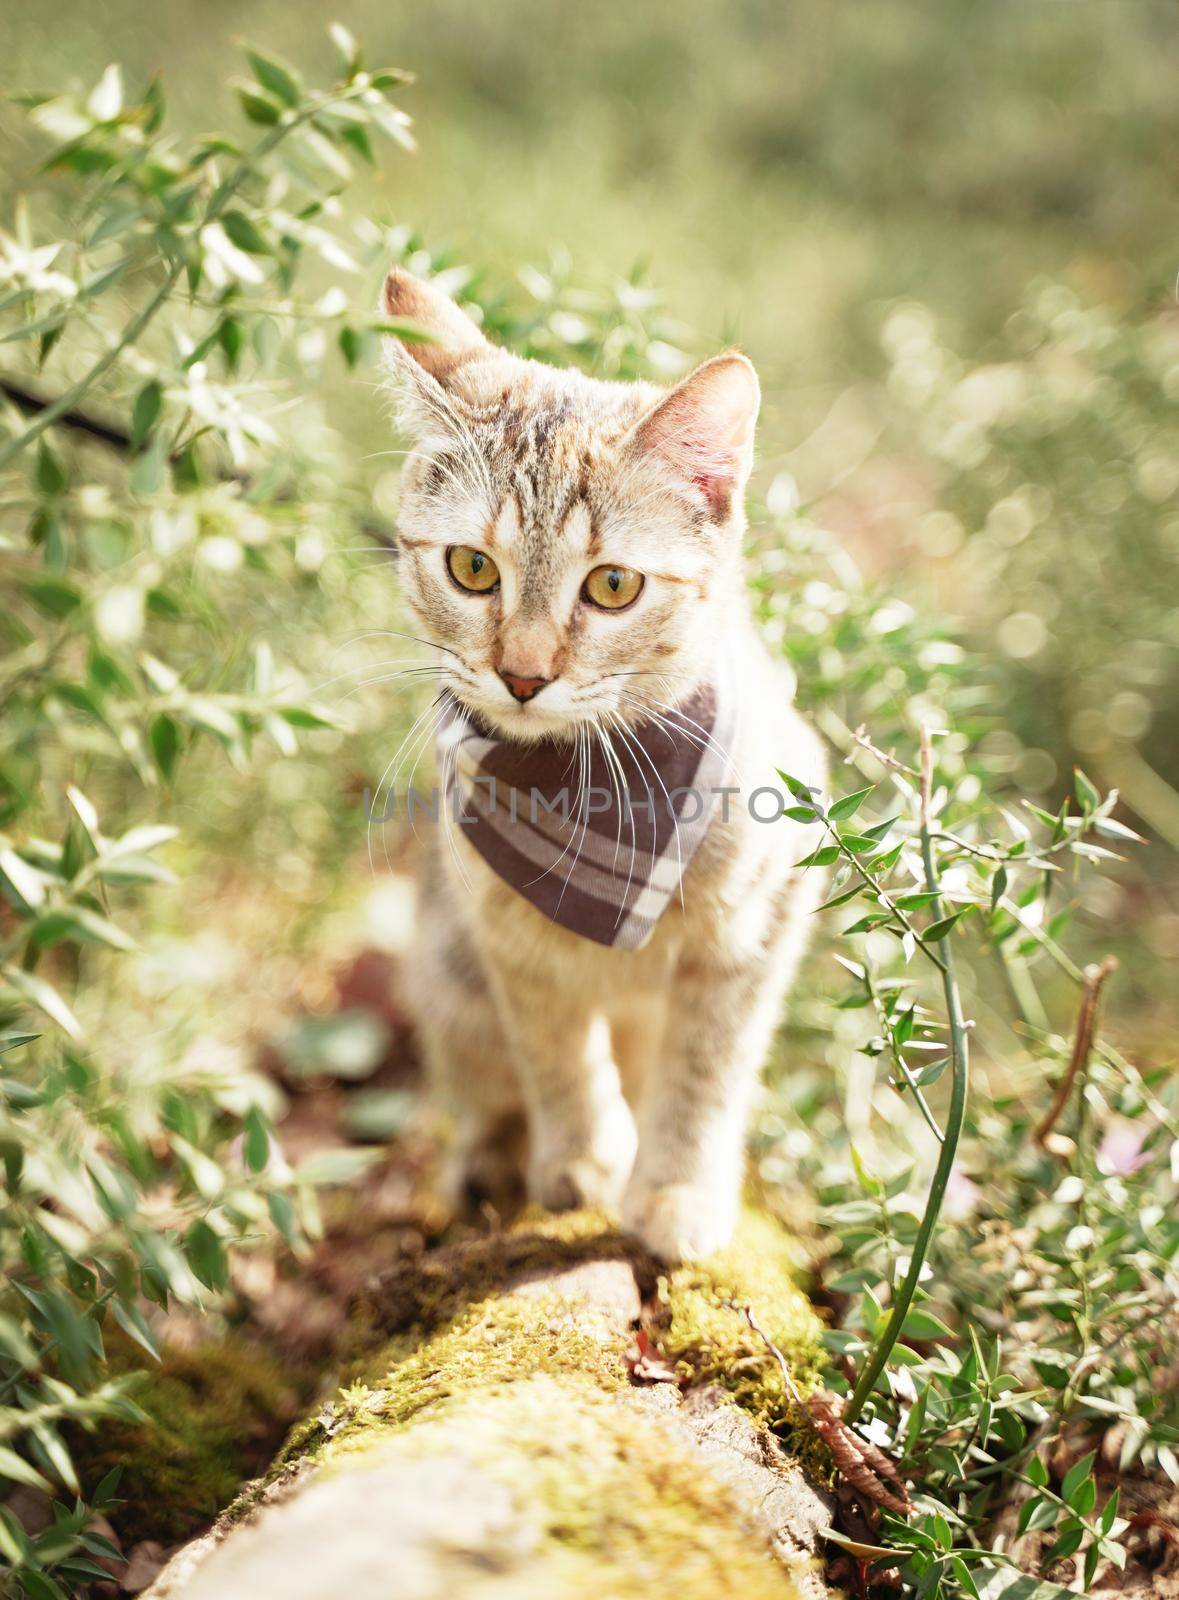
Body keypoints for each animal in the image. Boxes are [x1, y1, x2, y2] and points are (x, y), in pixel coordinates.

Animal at [382, 265, 825, 1260]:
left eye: (613, 585)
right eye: (472, 568)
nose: (522, 674)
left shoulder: (758, 930)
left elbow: (704, 1072)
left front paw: (675, 1188)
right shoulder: (506, 944)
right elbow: (553, 1054)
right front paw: (582, 1158)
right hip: (449, 984)